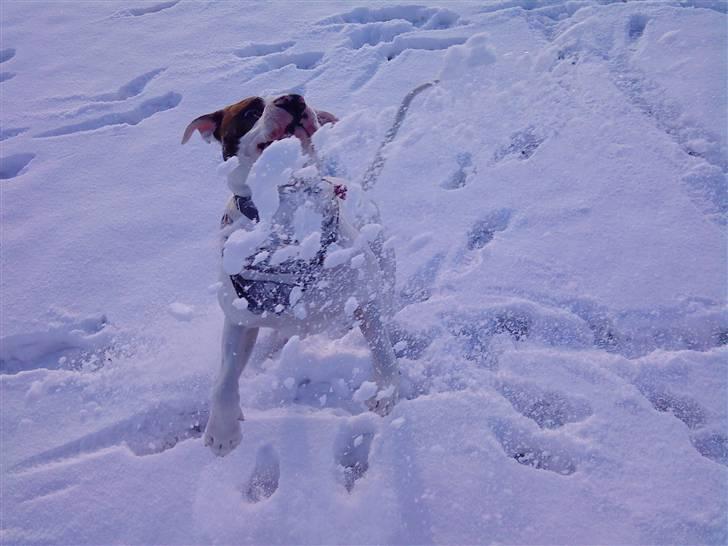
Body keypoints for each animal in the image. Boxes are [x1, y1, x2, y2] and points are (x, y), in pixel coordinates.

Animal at [181, 94, 398, 454]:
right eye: (250, 111)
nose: (293, 98)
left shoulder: (366, 298)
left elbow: (382, 349)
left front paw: (387, 391)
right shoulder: (238, 317)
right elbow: (224, 377)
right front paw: (223, 430)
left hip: (382, 259)